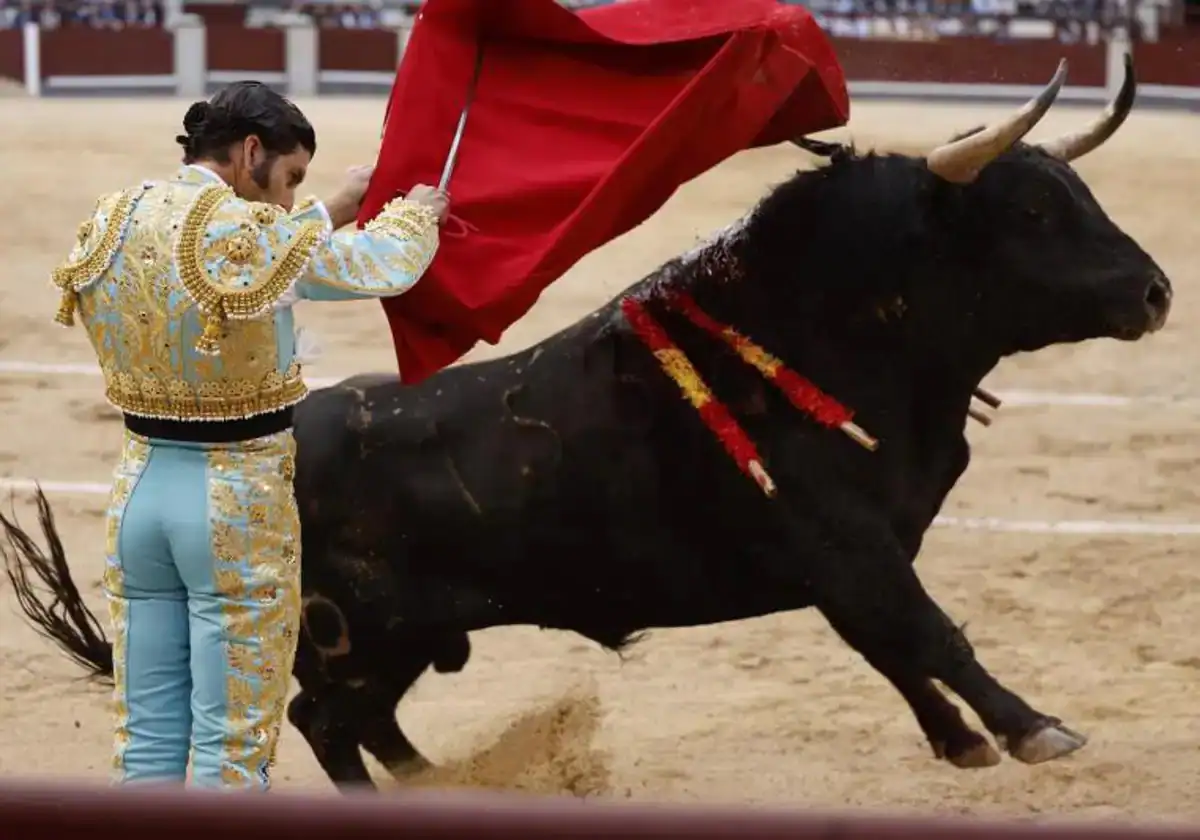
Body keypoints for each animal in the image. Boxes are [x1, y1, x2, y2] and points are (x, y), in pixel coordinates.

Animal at [4, 55, 1176, 792]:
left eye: (1076, 193)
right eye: (1033, 210)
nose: (1158, 291)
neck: (824, 336)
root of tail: (290, 436)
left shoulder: (846, 563)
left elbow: (894, 650)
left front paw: (962, 745)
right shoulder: (847, 545)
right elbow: (931, 634)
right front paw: (1035, 730)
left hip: (407, 632)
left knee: (357, 718)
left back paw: (443, 783)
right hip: (352, 626)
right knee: (322, 720)